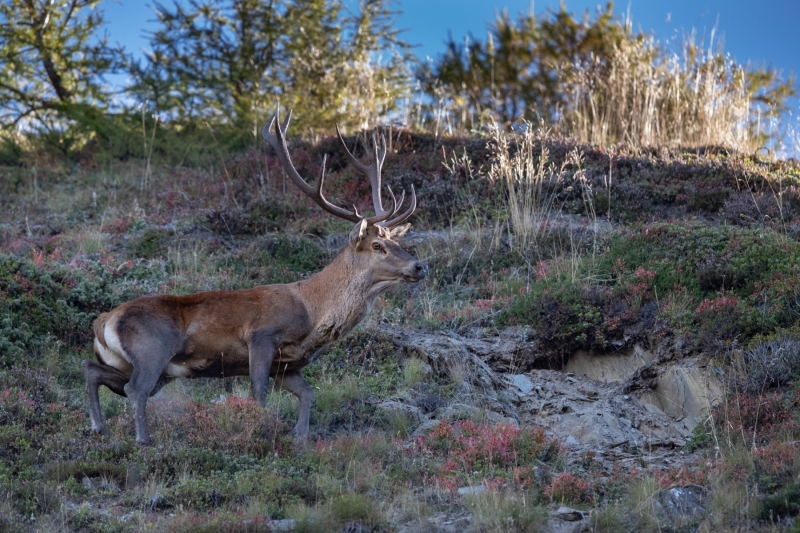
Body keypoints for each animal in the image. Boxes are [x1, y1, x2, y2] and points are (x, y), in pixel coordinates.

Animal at [81, 108, 427, 445]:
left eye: (398, 242)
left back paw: (99, 427)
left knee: (93, 370)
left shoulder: (287, 364)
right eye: (378, 245)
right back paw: (143, 440)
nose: (419, 266)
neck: (313, 313)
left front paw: (301, 437)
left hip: (137, 365)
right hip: (151, 350)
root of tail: (103, 321)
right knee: (135, 389)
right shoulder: (261, 336)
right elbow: (258, 394)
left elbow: (308, 393)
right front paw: (262, 431)